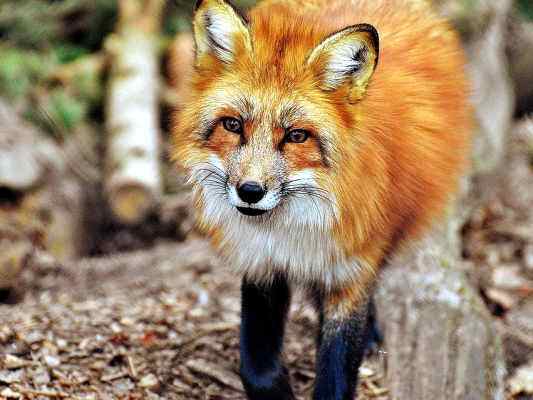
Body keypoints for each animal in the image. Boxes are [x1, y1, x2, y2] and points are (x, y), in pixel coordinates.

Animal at [170, 0, 470, 398]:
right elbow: (257, 367)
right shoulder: (261, 263)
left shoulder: (350, 270)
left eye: (296, 136)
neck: (291, 229)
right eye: (233, 125)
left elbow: (337, 368)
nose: (250, 191)